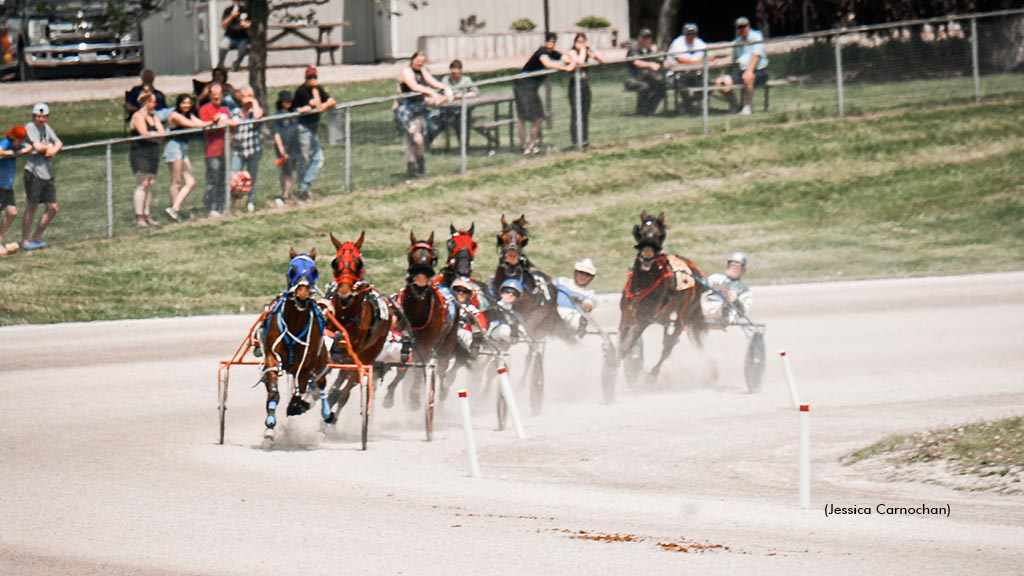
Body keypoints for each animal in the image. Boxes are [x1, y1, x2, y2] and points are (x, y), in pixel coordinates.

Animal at [258, 247, 329, 438]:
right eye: (292, 270)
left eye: (314, 270)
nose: (302, 297)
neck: (295, 325)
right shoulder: (271, 356)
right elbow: (273, 392)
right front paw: (269, 425)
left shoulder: (306, 365)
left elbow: (299, 396)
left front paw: (298, 406)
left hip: (321, 359)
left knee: (321, 383)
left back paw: (327, 414)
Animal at [323, 229, 391, 422]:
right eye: (335, 262)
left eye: (358, 263)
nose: (345, 295)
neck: (346, 313)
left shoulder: (357, 353)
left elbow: (347, 381)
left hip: (370, 352)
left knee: (346, 385)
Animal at [618, 211, 708, 385]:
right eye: (641, 232)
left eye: (660, 235)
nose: (647, 257)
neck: (643, 284)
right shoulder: (626, 314)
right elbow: (622, 340)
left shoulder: (645, 319)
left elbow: (629, 344)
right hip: (665, 317)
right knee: (667, 339)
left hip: (684, 316)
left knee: (669, 346)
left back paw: (652, 375)